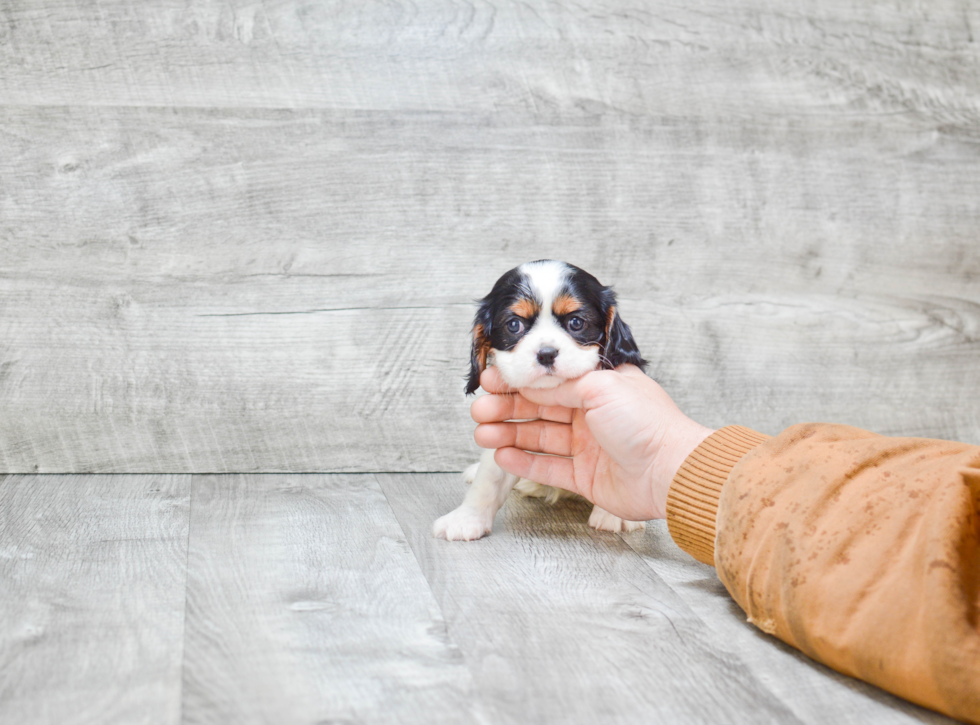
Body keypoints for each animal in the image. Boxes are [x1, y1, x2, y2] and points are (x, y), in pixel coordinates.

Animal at [432, 258, 648, 536]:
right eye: (514, 325)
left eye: (576, 323)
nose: (546, 353)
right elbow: (489, 480)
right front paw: (467, 519)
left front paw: (614, 514)